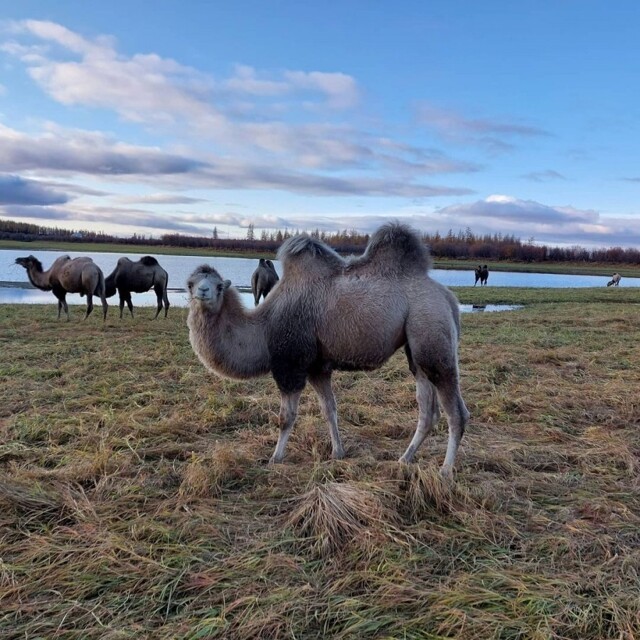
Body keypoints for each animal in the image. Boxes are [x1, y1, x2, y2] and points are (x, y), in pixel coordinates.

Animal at [185, 222, 470, 478]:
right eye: (190, 283)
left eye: (218, 285)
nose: (203, 291)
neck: (263, 329)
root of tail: (448, 298)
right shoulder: (317, 367)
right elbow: (329, 410)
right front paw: (338, 453)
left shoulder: (291, 365)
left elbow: (286, 417)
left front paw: (275, 458)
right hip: (418, 347)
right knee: (428, 410)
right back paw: (405, 458)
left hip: (431, 329)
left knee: (456, 411)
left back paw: (445, 471)